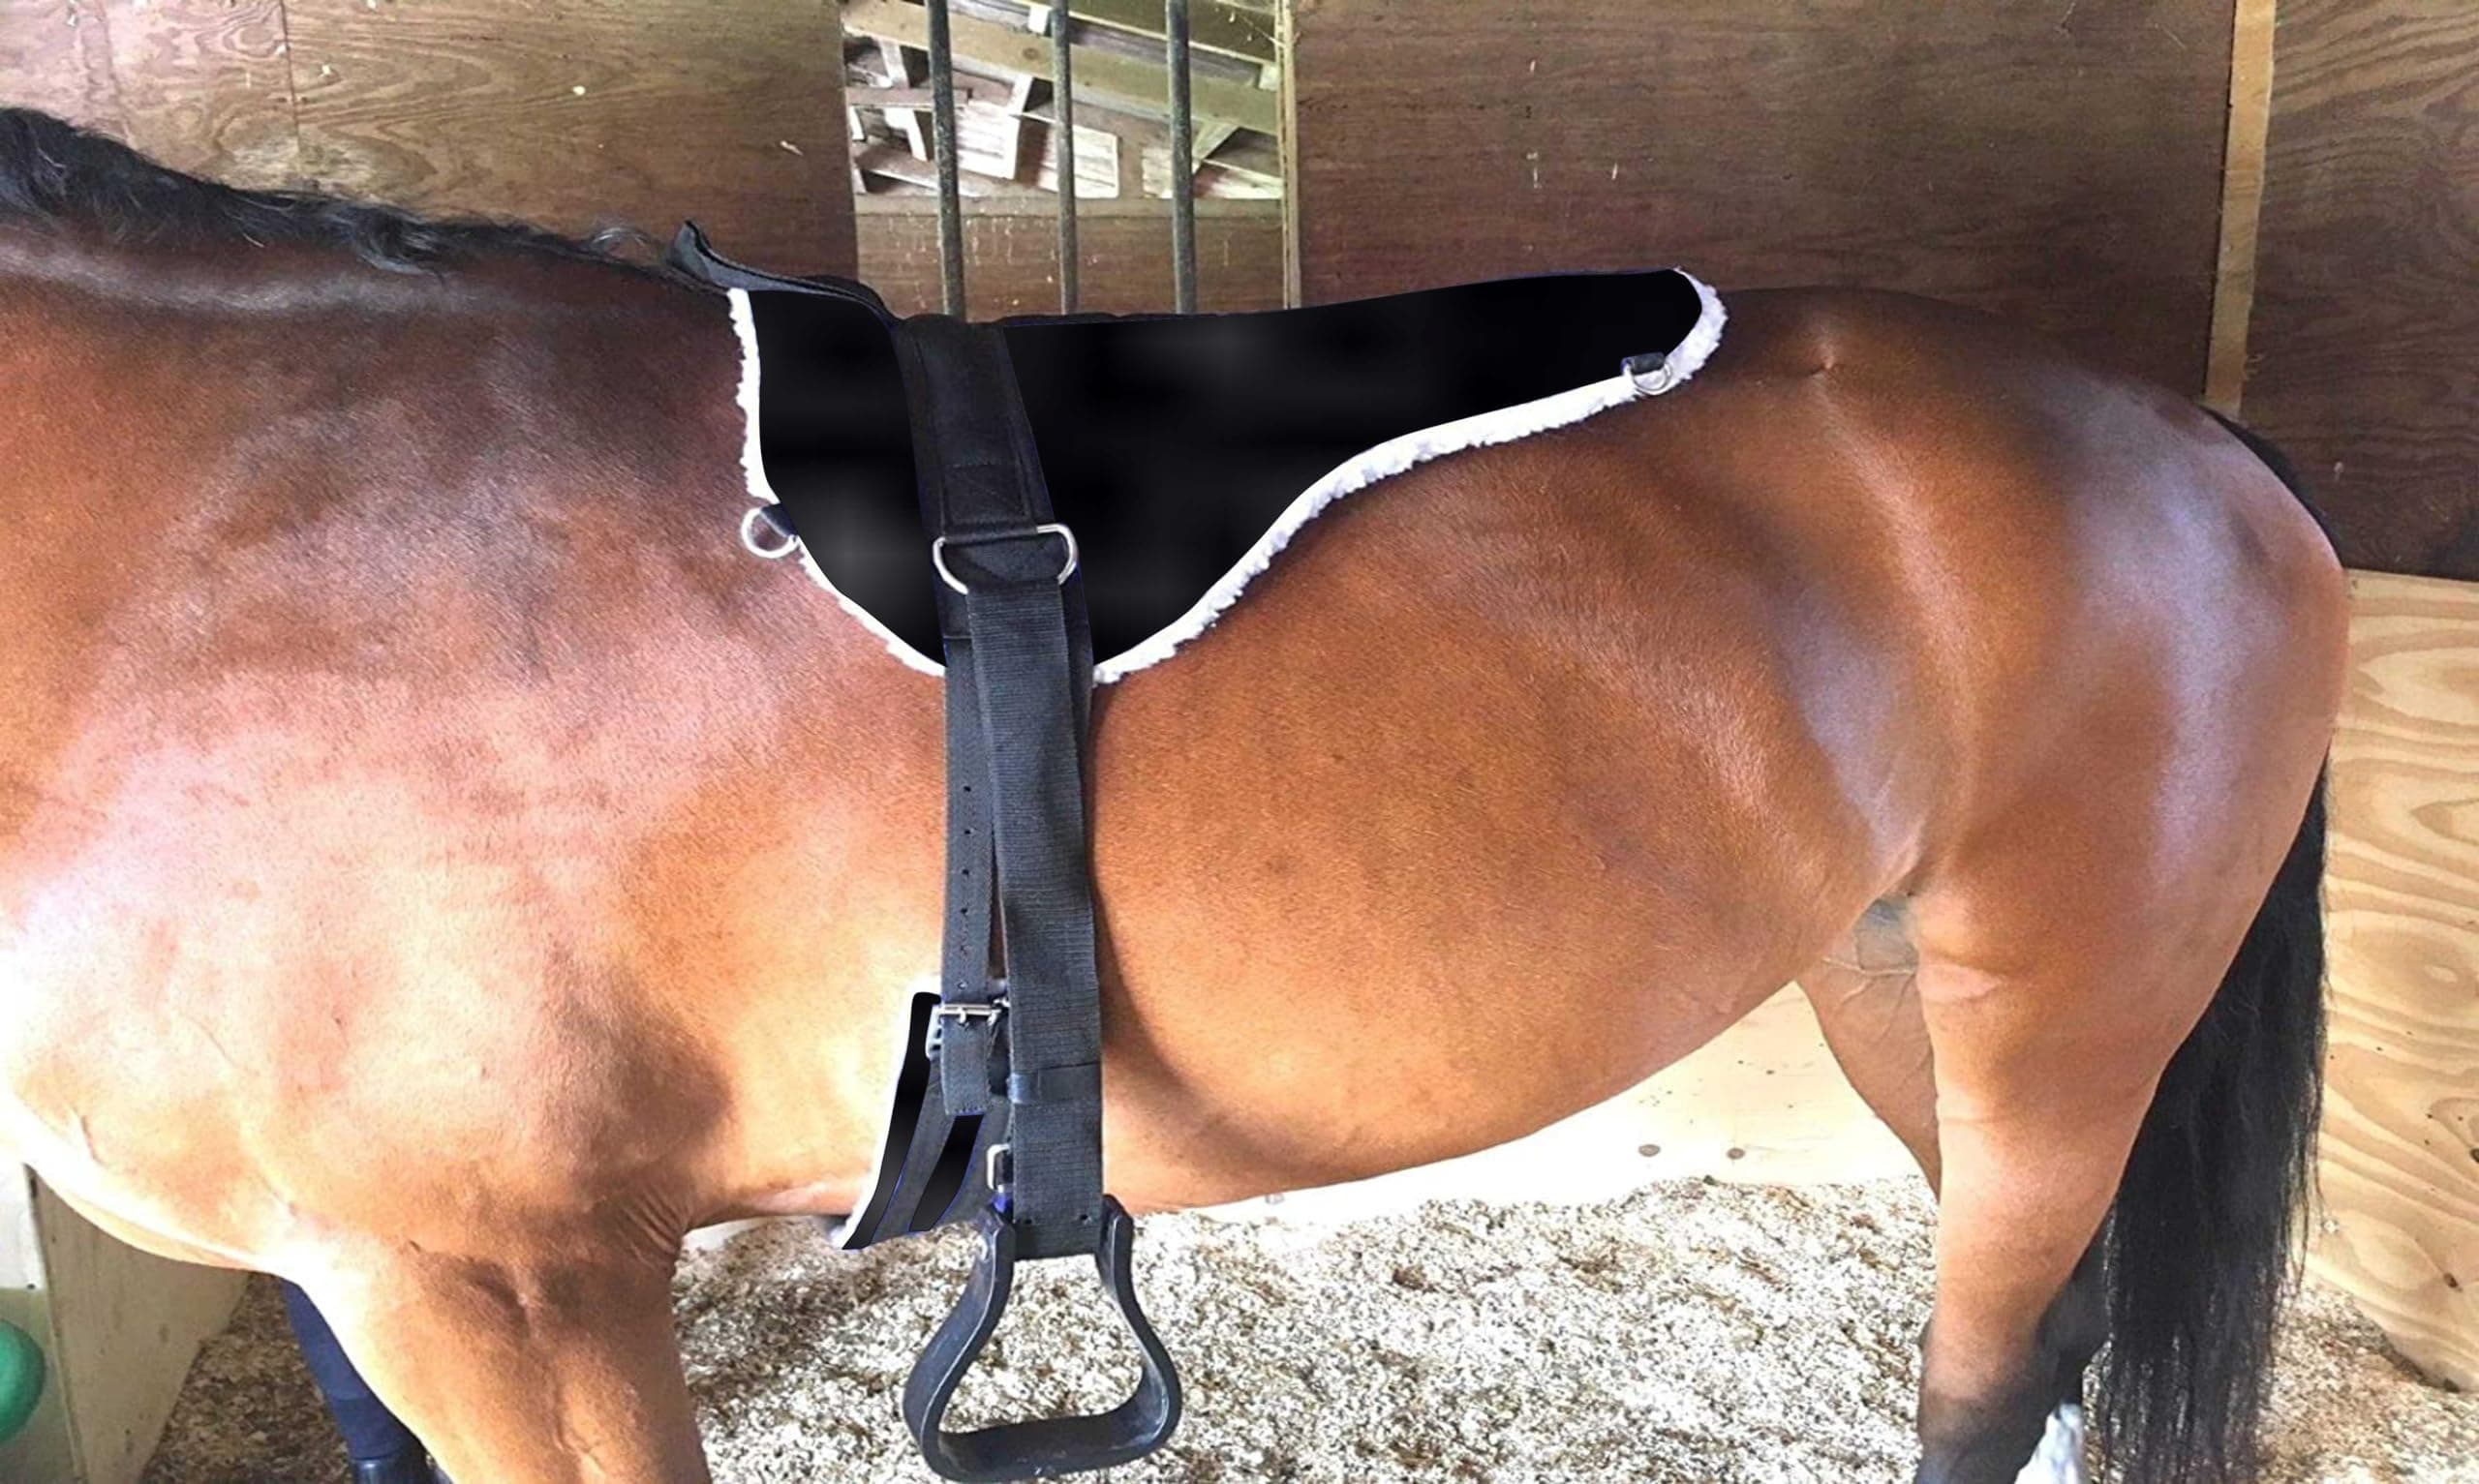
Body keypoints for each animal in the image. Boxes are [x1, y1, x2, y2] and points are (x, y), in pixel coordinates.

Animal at [0, 108, 2341, 1484]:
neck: (223, 541)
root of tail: (2196, 429)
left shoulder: (500, 1289)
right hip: (1893, 991)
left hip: (2059, 1031)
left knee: (1988, 1374)